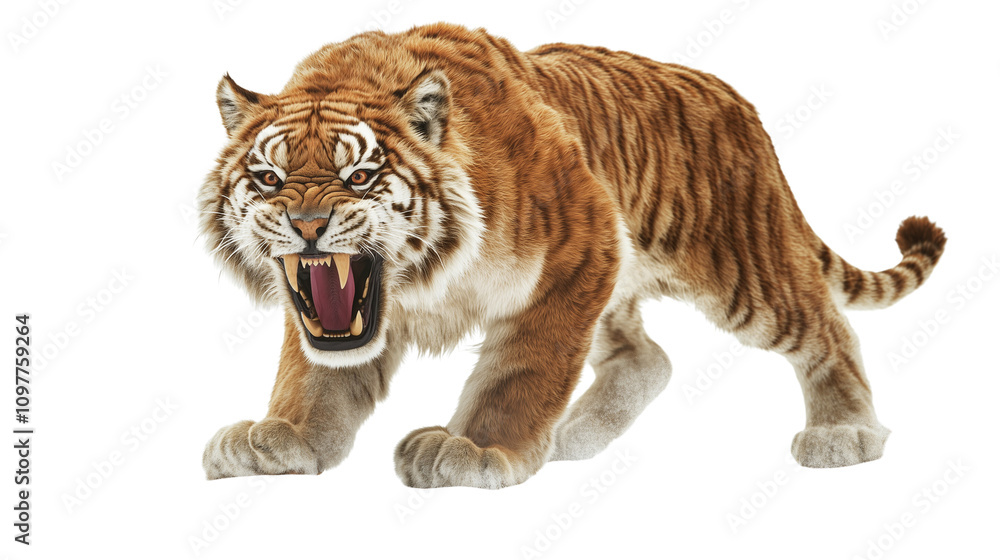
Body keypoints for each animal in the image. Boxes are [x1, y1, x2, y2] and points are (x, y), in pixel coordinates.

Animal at [198, 23, 947, 488]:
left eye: (359, 176)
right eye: (268, 177)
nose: (307, 225)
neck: (421, 281)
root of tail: (738, 103)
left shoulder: (574, 256)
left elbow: (522, 371)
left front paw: (475, 449)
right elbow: (313, 378)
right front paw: (281, 439)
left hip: (743, 272)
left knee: (828, 328)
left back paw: (844, 434)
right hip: (619, 289)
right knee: (648, 358)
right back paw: (571, 437)